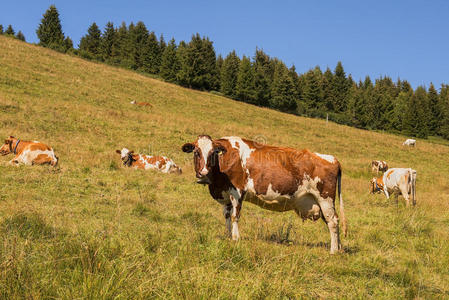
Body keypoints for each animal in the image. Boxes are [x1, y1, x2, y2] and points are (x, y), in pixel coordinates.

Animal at [182, 135, 346, 253]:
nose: (203, 174)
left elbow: (235, 216)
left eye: (212, 153)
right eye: (196, 152)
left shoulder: (237, 192)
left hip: (325, 198)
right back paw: (338, 248)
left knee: (333, 222)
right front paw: (228, 236)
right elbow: (227, 216)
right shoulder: (226, 195)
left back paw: (333, 251)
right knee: (333, 221)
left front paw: (235, 238)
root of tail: (332, 158)